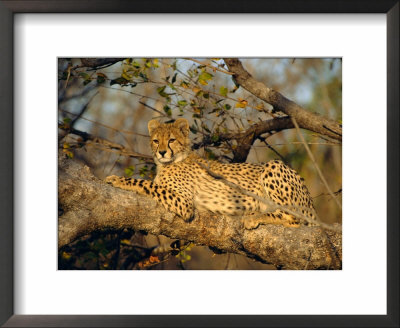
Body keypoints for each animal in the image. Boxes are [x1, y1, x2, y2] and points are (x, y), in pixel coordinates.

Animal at [105, 119, 316, 229]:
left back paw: (253, 217)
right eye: (156, 141)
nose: (162, 152)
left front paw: (117, 179)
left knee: (294, 217)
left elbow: (146, 183)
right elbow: (150, 183)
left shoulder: (184, 203)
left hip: (273, 165)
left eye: (171, 140)